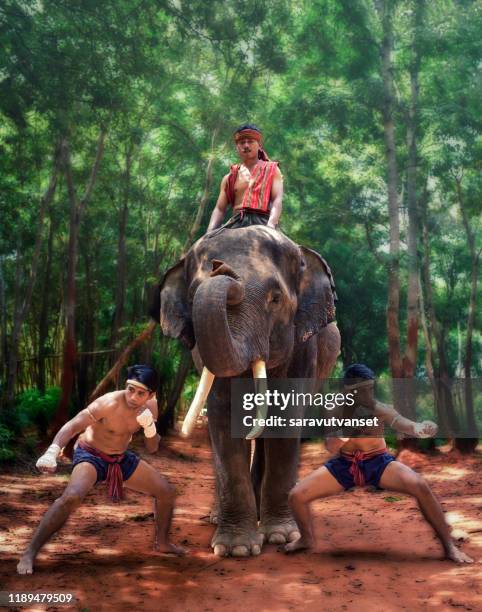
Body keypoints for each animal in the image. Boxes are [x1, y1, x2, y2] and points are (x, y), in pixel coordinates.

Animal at [151, 226, 338, 560]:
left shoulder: (303, 347)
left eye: (275, 298)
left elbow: (285, 417)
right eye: (193, 296)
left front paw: (280, 536)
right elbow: (225, 416)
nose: (220, 268)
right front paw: (235, 549)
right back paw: (218, 516)